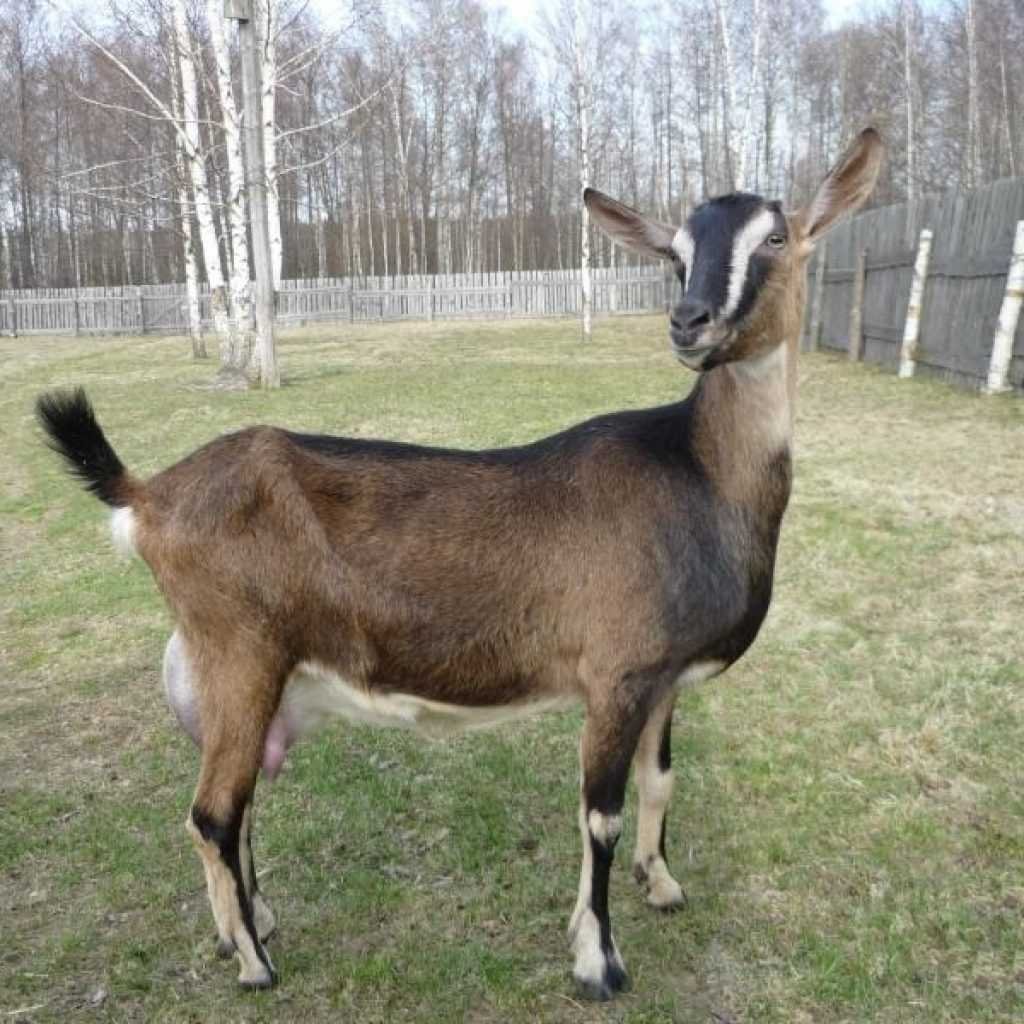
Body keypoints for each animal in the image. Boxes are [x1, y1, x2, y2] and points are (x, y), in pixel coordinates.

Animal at [37, 128, 882, 1001]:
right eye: (676, 253)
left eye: (776, 239)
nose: (690, 321)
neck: (697, 469)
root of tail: (146, 494)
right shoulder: (616, 673)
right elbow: (600, 815)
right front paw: (599, 961)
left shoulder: (662, 681)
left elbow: (661, 782)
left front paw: (663, 884)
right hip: (240, 650)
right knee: (213, 813)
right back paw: (254, 962)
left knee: (235, 810)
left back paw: (250, 926)